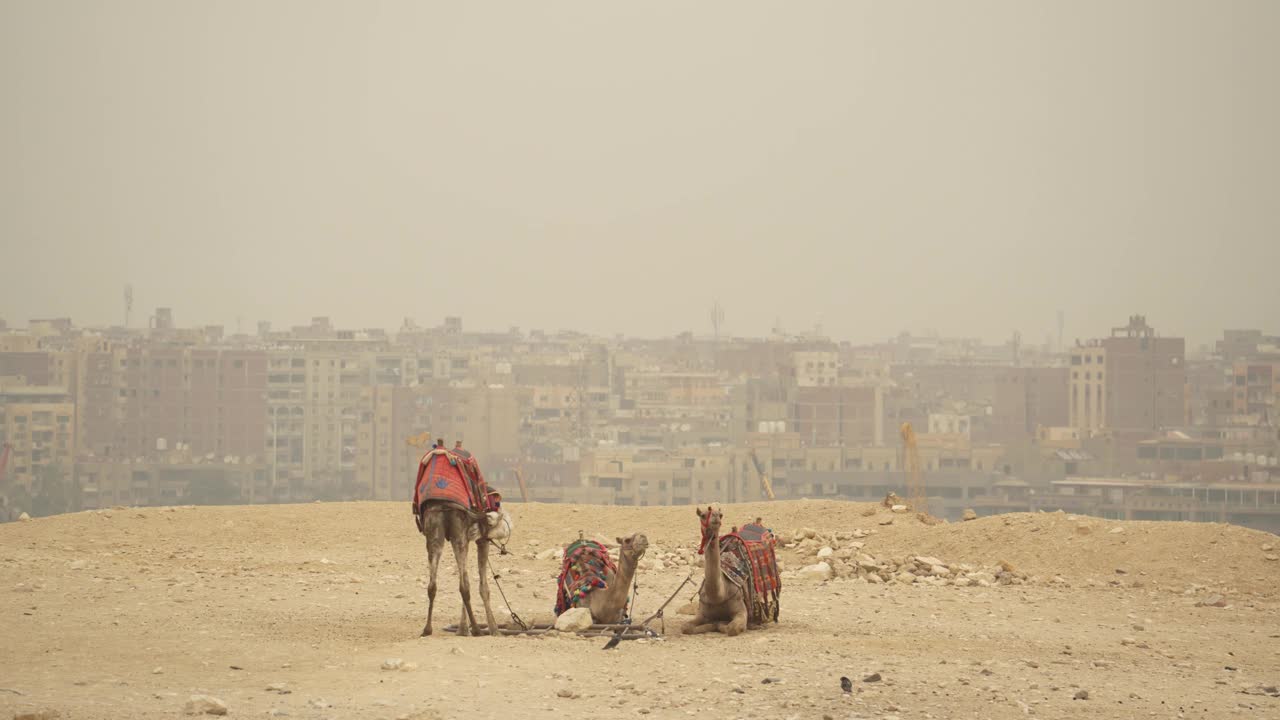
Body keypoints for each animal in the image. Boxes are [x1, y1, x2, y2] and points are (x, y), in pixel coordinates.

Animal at [680, 504, 747, 632]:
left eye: (721, 515)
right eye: (702, 515)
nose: (715, 516)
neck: (719, 595)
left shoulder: (741, 610)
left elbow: (732, 628)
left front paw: (720, 623)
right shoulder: (702, 612)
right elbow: (686, 627)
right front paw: (713, 624)